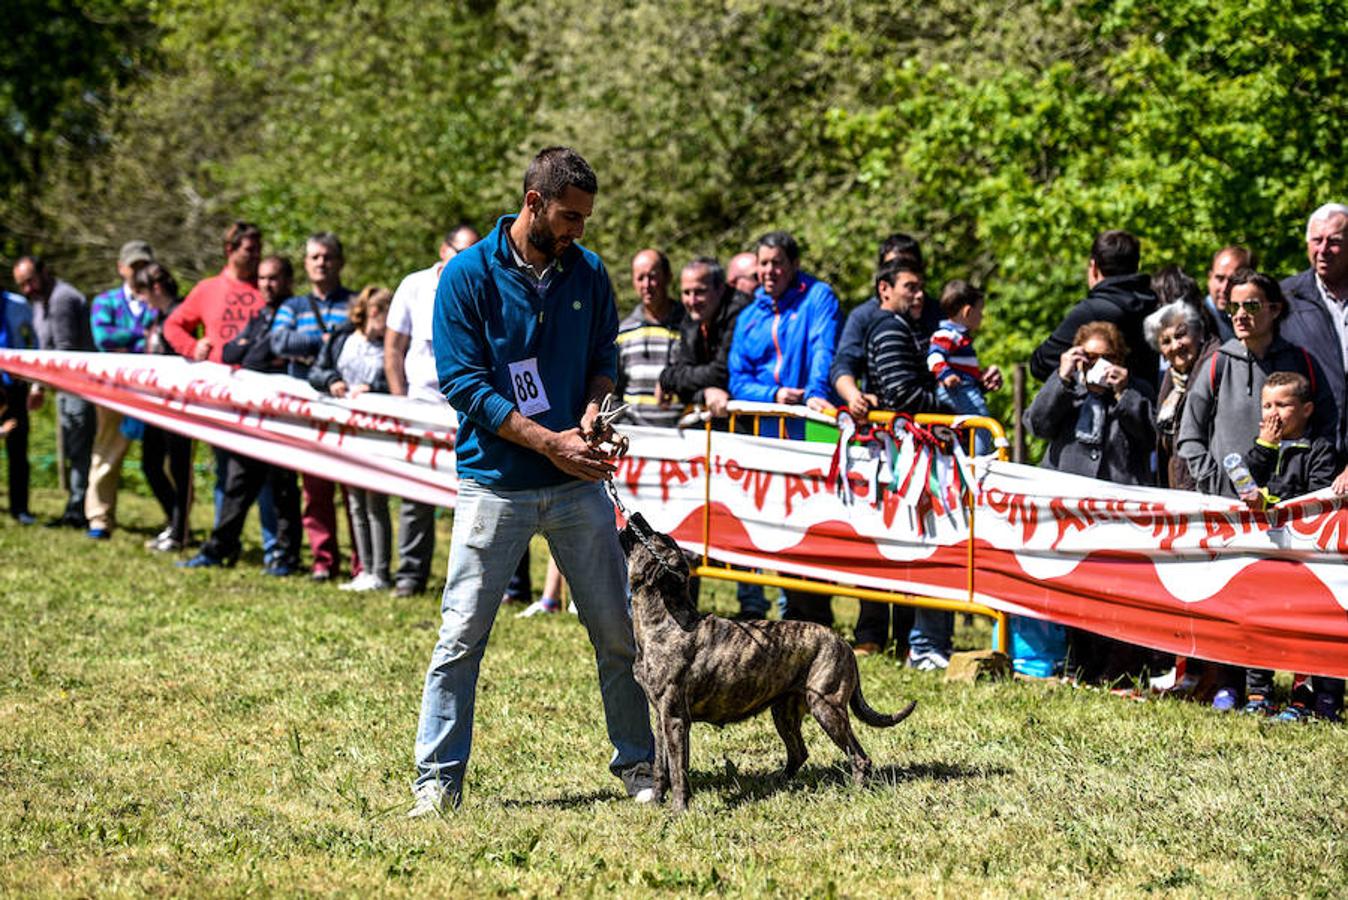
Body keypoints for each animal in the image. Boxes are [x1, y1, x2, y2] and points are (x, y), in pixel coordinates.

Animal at [617, 509, 916, 813]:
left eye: (655, 535)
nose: (636, 514)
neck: (664, 619)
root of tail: (844, 643)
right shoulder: (661, 717)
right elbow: (661, 767)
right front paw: (656, 801)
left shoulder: (676, 718)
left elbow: (679, 771)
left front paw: (679, 810)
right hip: (785, 711)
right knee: (799, 752)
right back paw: (778, 784)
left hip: (827, 707)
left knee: (857, 756)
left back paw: (854, 791)